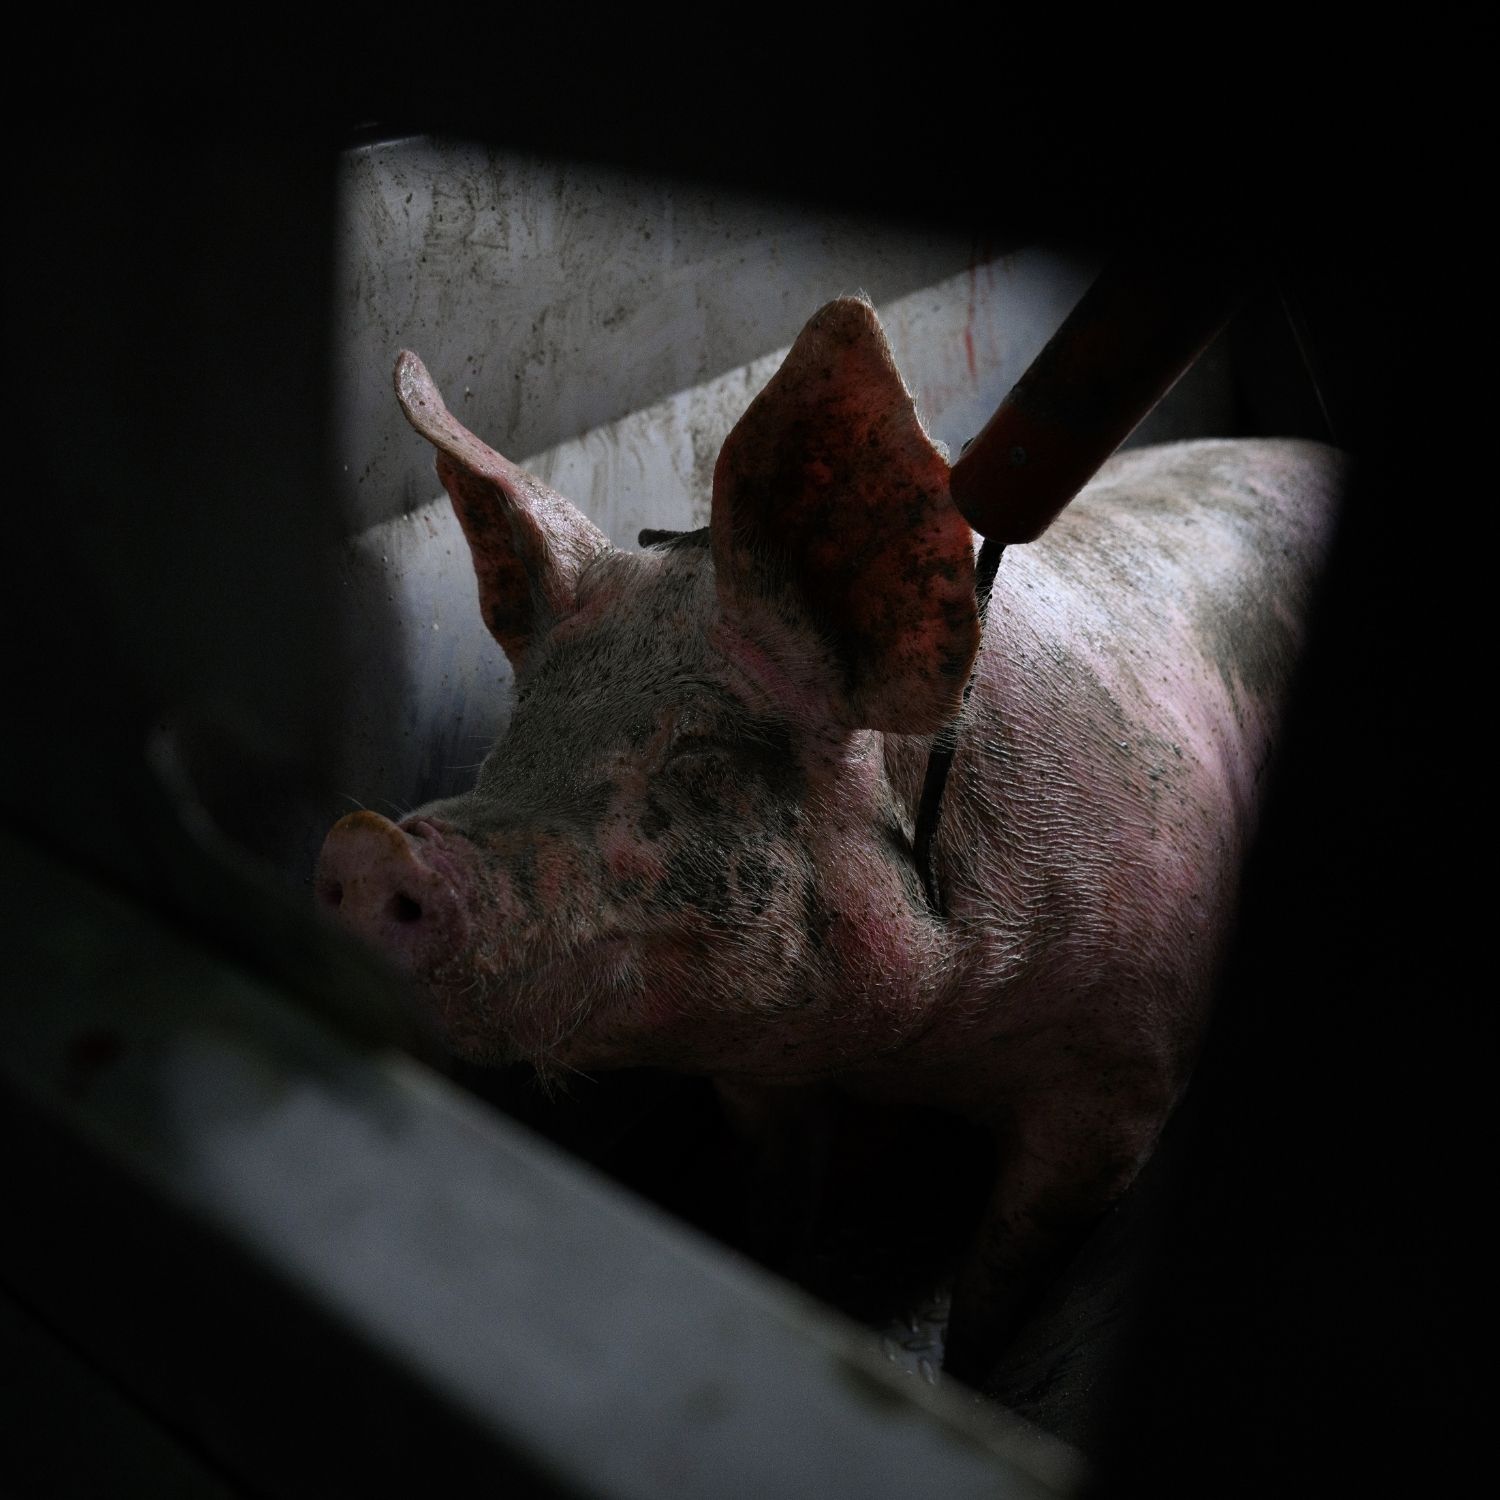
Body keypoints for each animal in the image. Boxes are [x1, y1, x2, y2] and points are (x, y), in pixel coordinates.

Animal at [315, 297, 1342, 1385]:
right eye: (525, 720)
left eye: (700, 753)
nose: (369, 844)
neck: (915, 1049)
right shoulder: (756, 1063)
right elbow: (774, 1201)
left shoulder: (1125, 1080)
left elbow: (1002, 1279)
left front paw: (966, 1369)